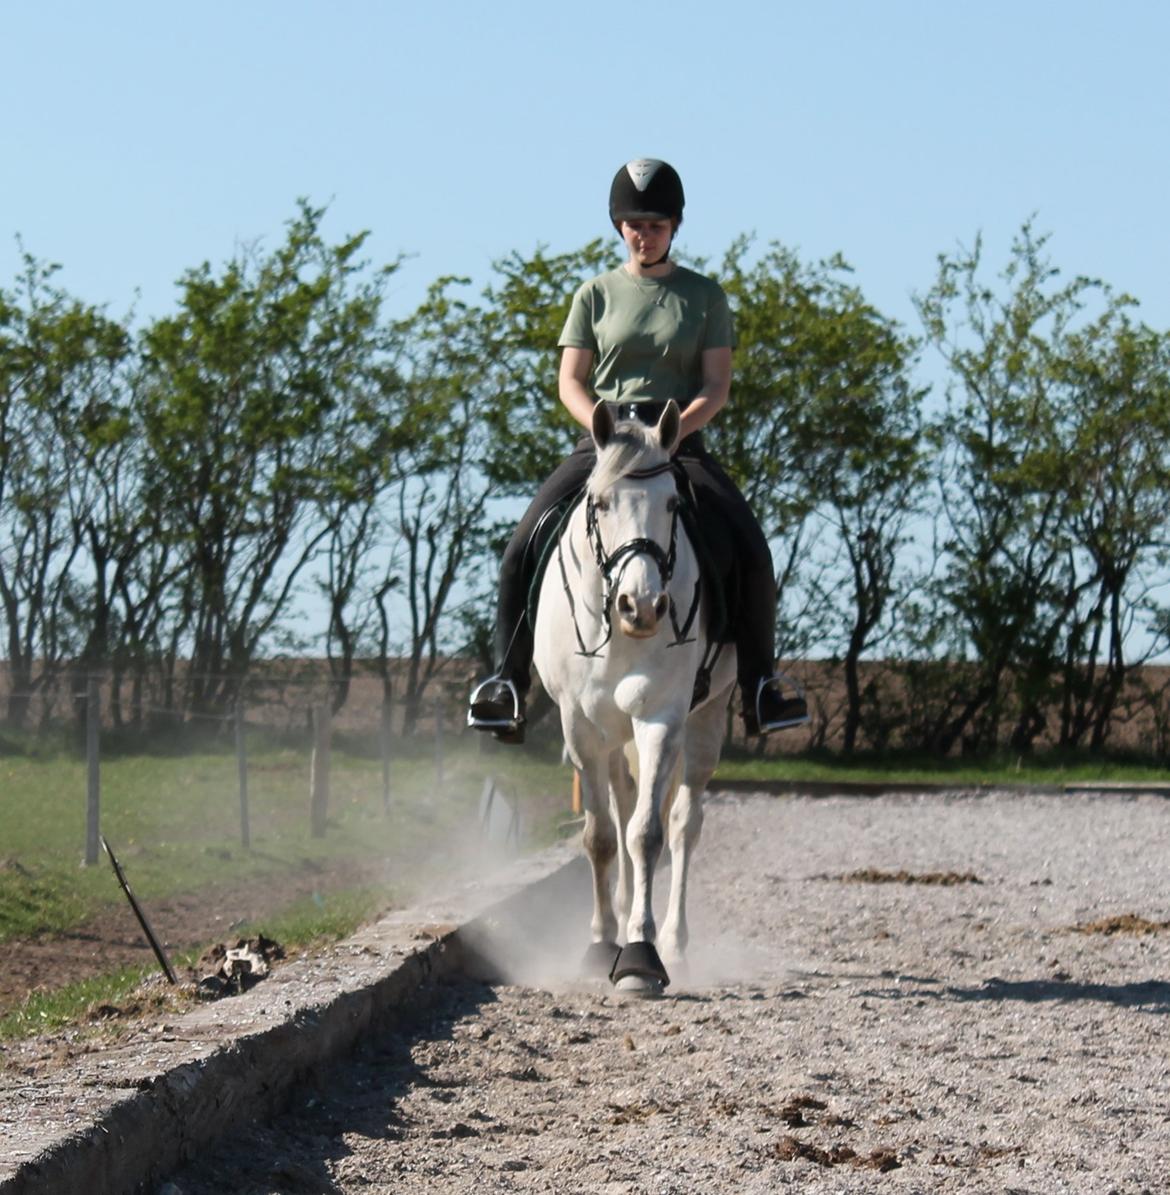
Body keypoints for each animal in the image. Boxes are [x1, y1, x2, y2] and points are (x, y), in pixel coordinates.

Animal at [535, 396, 736, 994]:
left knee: (683, 826)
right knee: (622, 810)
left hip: (707, 721)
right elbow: (602, 836)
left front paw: (642, 958)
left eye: (672, 503)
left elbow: (647, 834)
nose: (642, 607)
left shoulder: (661, 717)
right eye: (599, 504)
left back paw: (674, 943)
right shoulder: (579, 726)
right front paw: (603, 943)